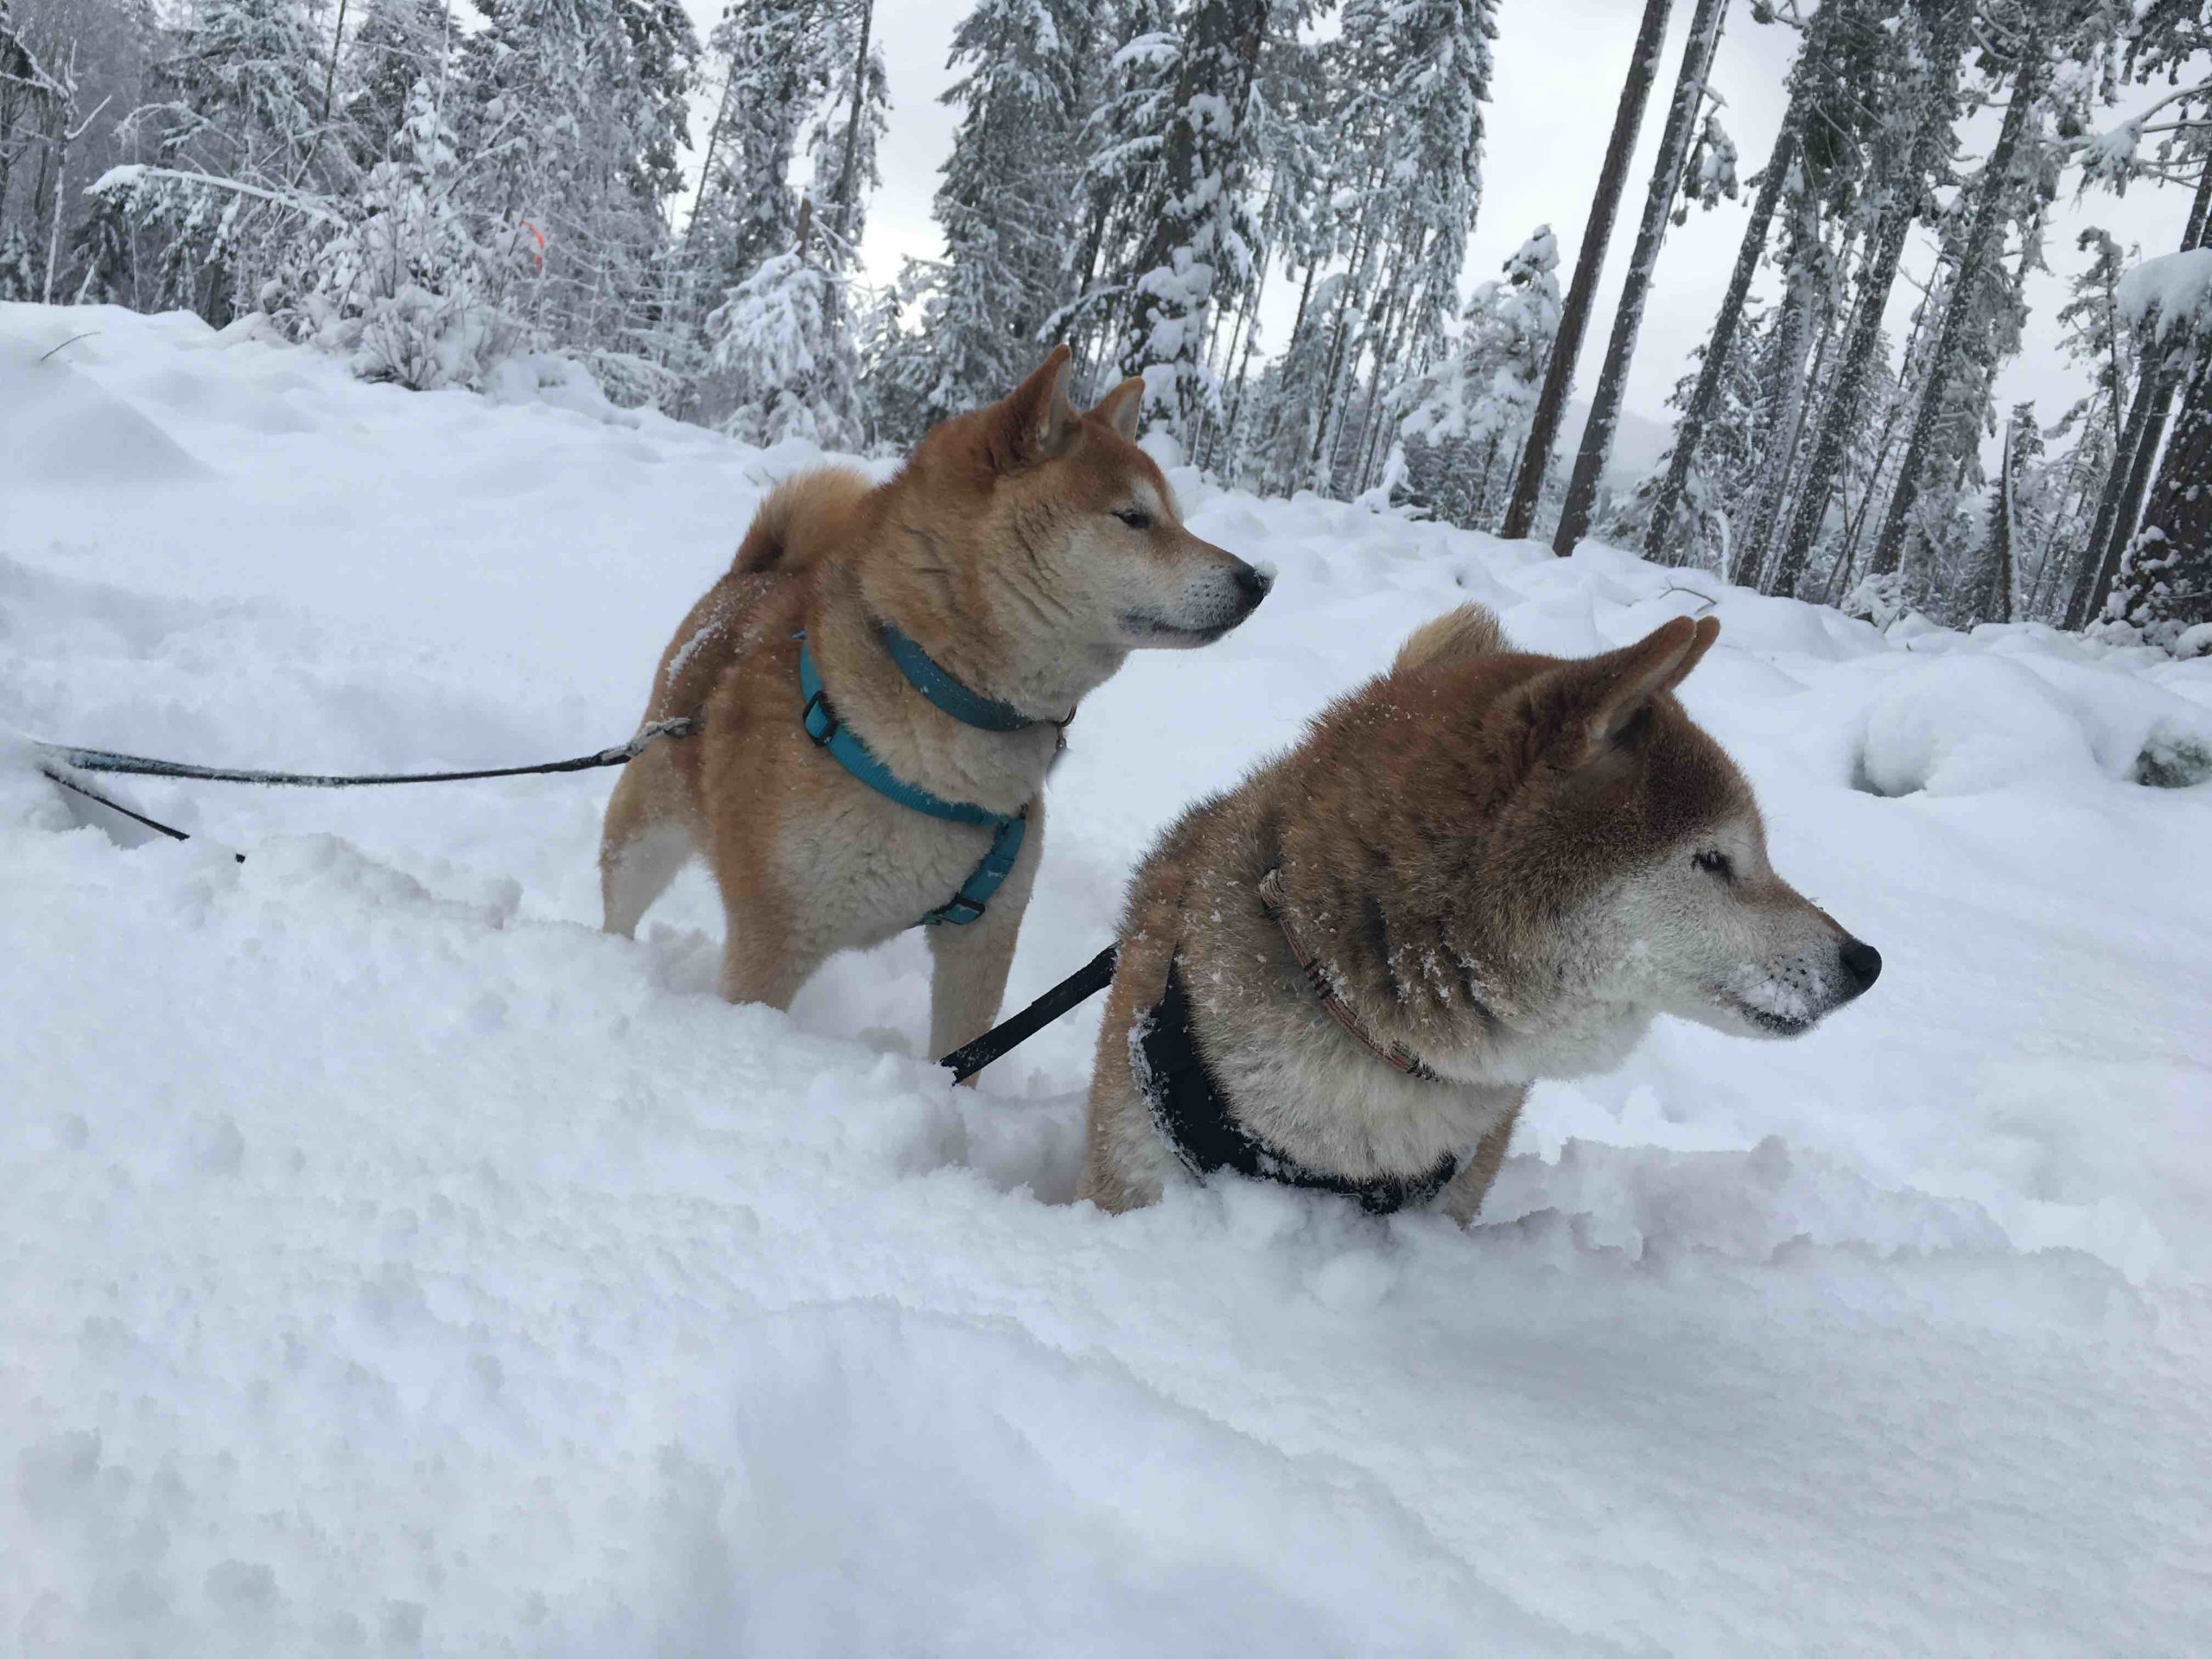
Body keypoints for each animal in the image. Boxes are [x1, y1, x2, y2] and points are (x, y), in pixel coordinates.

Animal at [597, 345, 1274, 1057]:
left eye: (1176, 517)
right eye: (1134, 518)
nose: (1257, 580)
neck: (941, 700)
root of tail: (751, 574)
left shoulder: (983, 939)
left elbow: (961, 1056)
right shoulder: (771, 942)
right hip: (643, 833)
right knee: (620, 899)